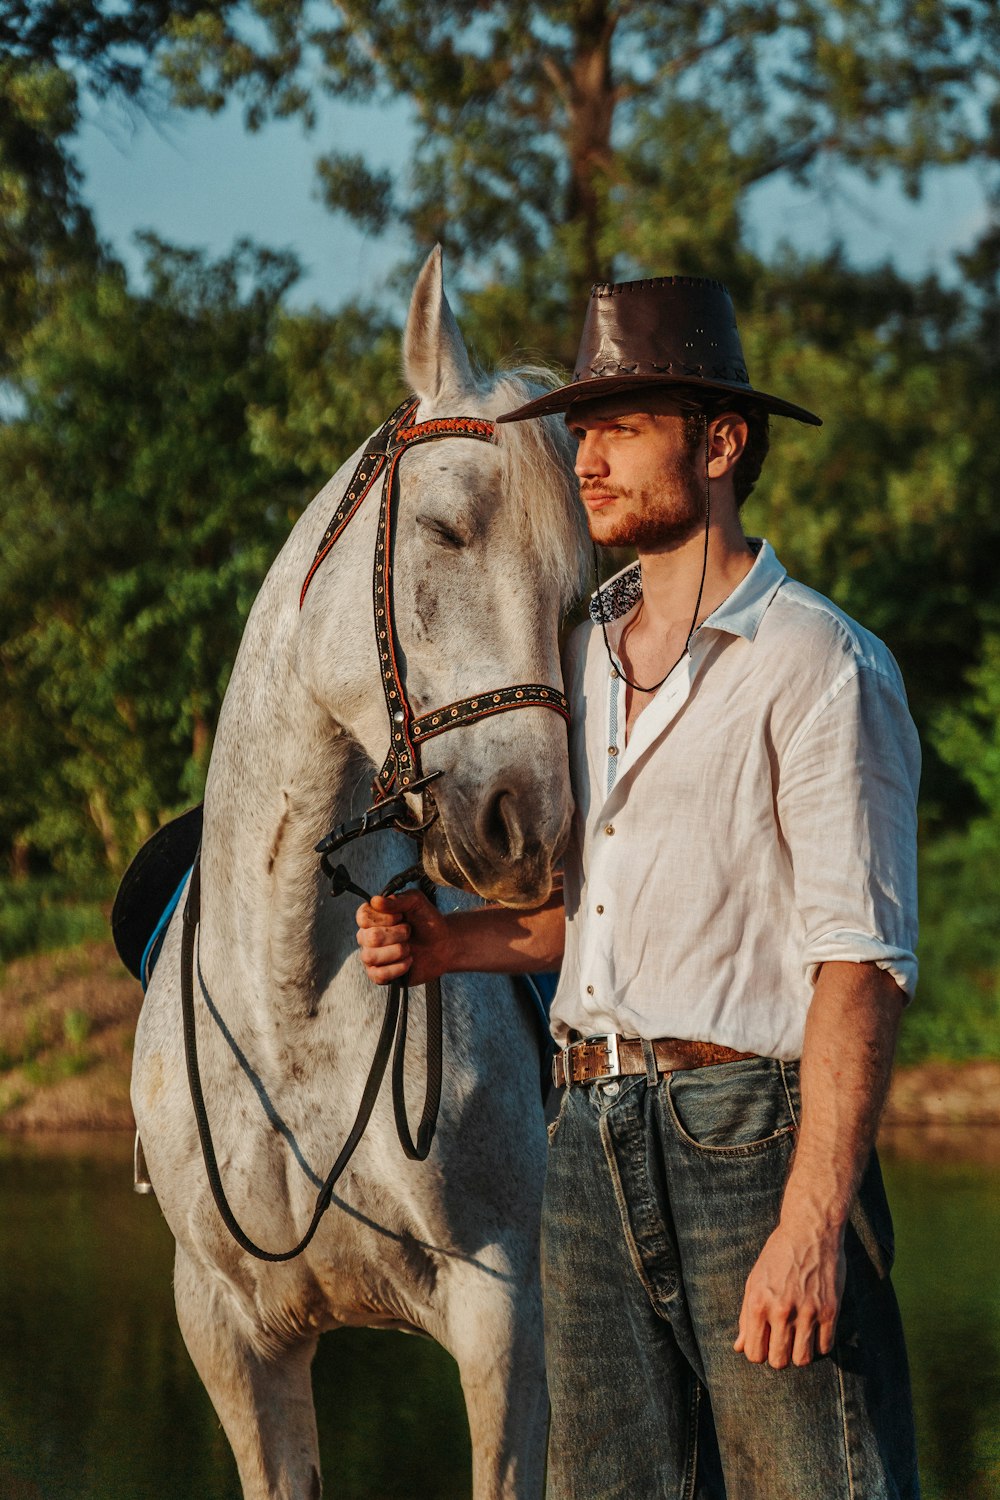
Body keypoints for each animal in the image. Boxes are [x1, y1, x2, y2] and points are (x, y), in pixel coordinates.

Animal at [130, 249, 590, 1500]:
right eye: (442, 528)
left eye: (582, 591)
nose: (527, 832)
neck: (290, 997)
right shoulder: (231, 1335)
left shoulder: (503, 1317)